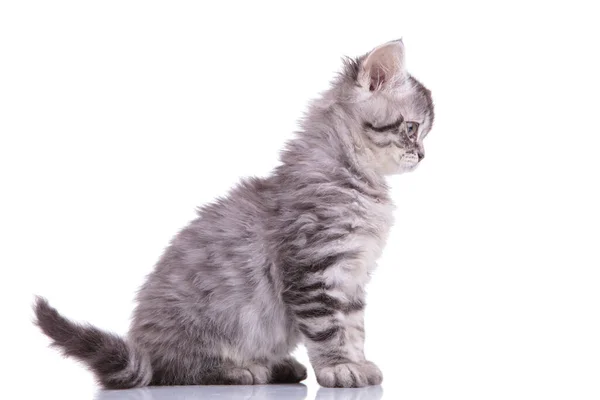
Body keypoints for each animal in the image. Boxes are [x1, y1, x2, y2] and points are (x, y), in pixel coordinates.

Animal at [32, 39, 434, 388]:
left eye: (423, 134)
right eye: (412, 129)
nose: (423, 156)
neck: (354, 180)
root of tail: (143, 352)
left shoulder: (351, 280)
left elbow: (353, 328)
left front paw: (357, 362)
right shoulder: (312, 272)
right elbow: (329, 329)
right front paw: (339, 368)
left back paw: (279, 366)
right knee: (176, 371)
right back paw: (241, 370)